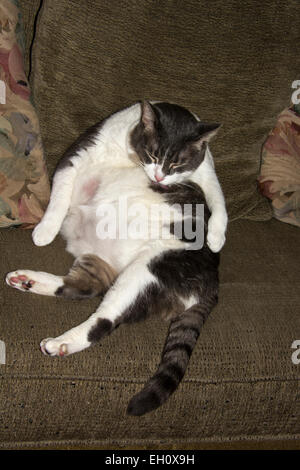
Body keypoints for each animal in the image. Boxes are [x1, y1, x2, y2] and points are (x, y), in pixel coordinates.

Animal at [5, 100, 227, 414]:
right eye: (153, 154)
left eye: (177, 165)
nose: (159, 178)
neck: (129, 156)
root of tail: (214, 282)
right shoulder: (77, 157)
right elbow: (60, 196)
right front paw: (47, 228)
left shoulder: (204, 173)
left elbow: (216, 196)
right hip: (102, 262)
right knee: (81, 287)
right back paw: (27, 280)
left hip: (145, 272)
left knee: (104, 319)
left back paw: (60, 343)